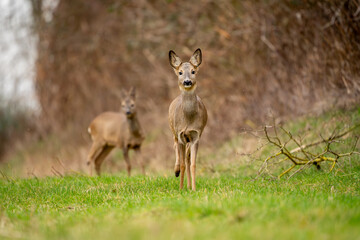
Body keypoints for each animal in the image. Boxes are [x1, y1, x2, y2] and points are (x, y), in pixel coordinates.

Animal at [167, 49, 207, 191]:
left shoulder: (196, 136)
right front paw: (180, 188)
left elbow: (192, 164)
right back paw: (176, 171)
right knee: (175, 147)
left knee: (188, 158)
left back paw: (189, 185)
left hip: (189, 139)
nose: (187, 81)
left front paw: (193, 188)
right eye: (180, 72)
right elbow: (184, 164)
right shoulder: (180, 134)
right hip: (173, 130)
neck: (188, 119)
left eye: (193, 71)